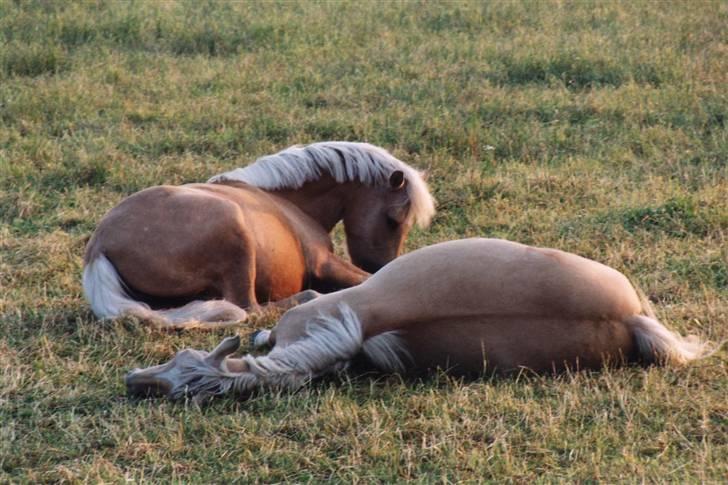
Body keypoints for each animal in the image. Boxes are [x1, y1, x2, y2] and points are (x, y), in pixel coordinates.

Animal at [85, 140, 438, 328]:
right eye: (393, 220)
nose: (384, 263)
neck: (285, 201)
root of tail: (99, 249)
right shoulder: (324, 263)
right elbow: (366, 280)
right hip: (235, 235)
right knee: (248, 308)